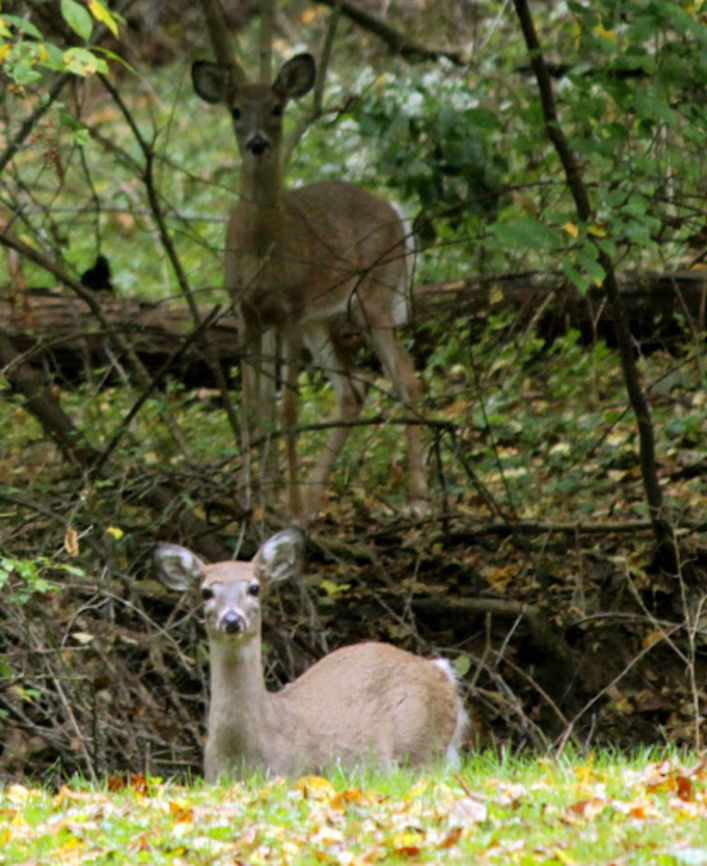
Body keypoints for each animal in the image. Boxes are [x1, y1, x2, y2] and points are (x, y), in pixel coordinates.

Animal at [191, 52, 428, 521]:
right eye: (236, 111)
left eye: (277, 108)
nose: (258, 144)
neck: (264, 247)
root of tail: (395, 211)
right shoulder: (247, 311)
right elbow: (255, 405)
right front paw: (253, 499)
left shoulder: (291, 308)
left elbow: (288, 408)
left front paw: (286, 502)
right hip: (326, 318)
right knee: (353, 391)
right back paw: (317, 499)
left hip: (373, 296)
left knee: (406, 379)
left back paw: (416, 499)